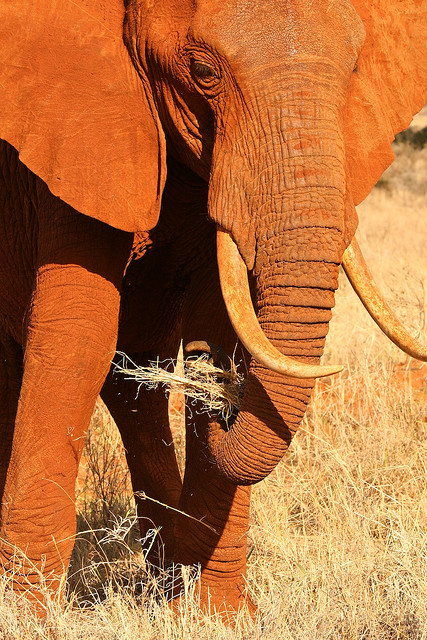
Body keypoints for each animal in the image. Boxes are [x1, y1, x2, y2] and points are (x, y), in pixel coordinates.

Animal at [0, 0, 426, 618]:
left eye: (352, 71)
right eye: (203, 73)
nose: (221, 399)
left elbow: (219, 319)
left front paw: (217, 615)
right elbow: (79, 336)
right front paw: (30, 616)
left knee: (134, 381)